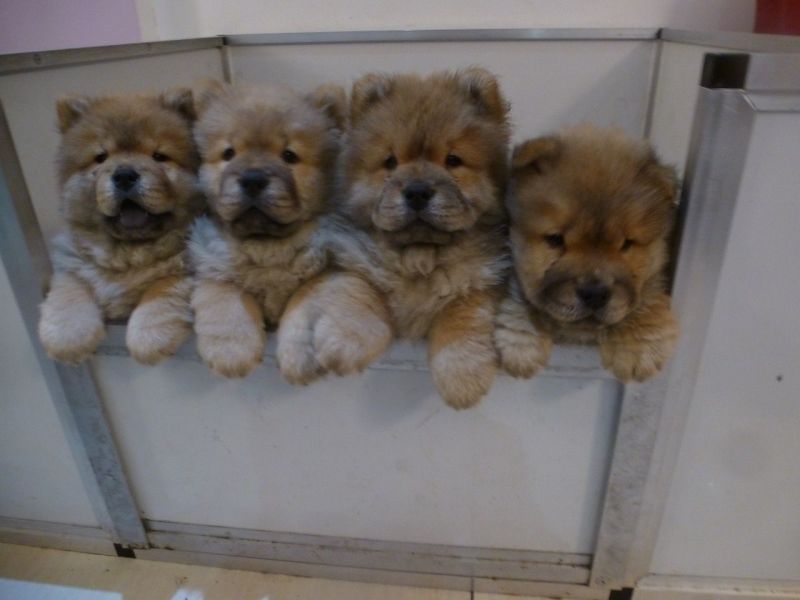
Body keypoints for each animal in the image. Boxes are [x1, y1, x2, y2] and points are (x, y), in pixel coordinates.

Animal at [38, 90, 202, 365]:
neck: (129, 257)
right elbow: (69, 289)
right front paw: (67, 338)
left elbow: (162, 290)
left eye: (159, 156)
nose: (124, 175)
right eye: (101, 158)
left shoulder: (189, 268)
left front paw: (149, 338)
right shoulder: (72, 263)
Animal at [188, 81, 345, 378]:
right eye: (229, 154)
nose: (253, 179)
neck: (266, 247)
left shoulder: (324, 267)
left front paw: (299, 357)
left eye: (289, 156)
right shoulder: (214, 264)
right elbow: (226, 298)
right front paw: (231, 352)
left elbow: (304, 301)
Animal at [277, 68, 511, 408]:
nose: (417, 191)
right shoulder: (355, 261)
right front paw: (344, 342)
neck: (419, 257)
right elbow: (358, 294)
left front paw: (461, 378)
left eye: (453, 161)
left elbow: (463, 316)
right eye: (390, 162)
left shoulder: (485, 277)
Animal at [494, 124, 679, 382]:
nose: (594, 294)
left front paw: (639, 344)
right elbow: (524, 295)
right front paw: (521, 340)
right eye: (555, 240)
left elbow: (646, 295)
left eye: (626, 244)